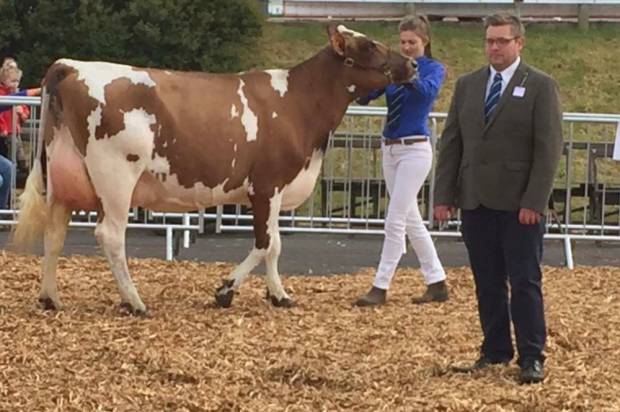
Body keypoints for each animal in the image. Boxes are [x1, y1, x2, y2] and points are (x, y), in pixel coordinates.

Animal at [13, 25, 416, 316]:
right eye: (369, 46)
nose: (412, 64)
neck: (298, 104)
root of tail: (71, 64)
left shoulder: (273, 190)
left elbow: (274, 243)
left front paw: (273, 294)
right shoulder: (267, 185)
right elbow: (267, 243)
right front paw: (232, 290)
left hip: (63, 176)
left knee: (54, 233)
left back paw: (50, 298)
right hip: (115, 175)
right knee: (110, 236)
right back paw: (135, 302)